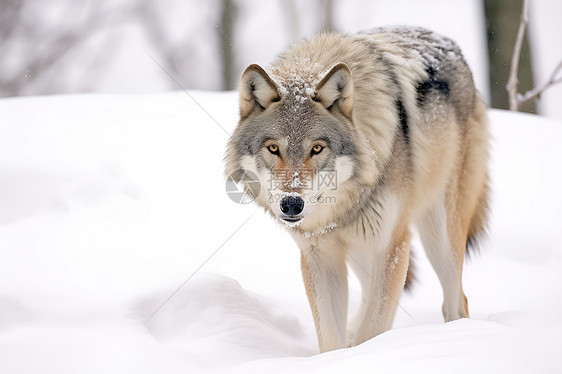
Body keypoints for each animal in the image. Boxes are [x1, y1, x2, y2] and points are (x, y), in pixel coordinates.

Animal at [223, 27, 486, 354]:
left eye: (317, 149)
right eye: (273, 149)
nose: (291, 204)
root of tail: (450, 45)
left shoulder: (392, 247)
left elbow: (372, 331)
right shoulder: (320, 257)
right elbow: (330, 339)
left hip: (437, 235)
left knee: (456, 301)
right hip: (363, 251)